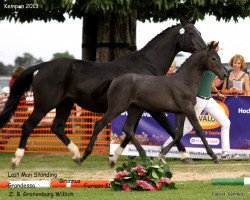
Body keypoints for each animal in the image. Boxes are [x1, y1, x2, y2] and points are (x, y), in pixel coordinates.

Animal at [85, 42, 228, 164]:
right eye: (214, 58)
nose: (225, 74)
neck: (184, 81)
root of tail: (114, 80)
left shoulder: (180, 112)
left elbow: (178, 134)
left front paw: (160, 155)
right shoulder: (188, 109)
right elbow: (199, 130)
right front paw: (214, 157)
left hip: (134, 109)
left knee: (128, 129)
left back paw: (120, 158)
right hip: (117, 107)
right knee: (99, 124)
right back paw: (84, 156)